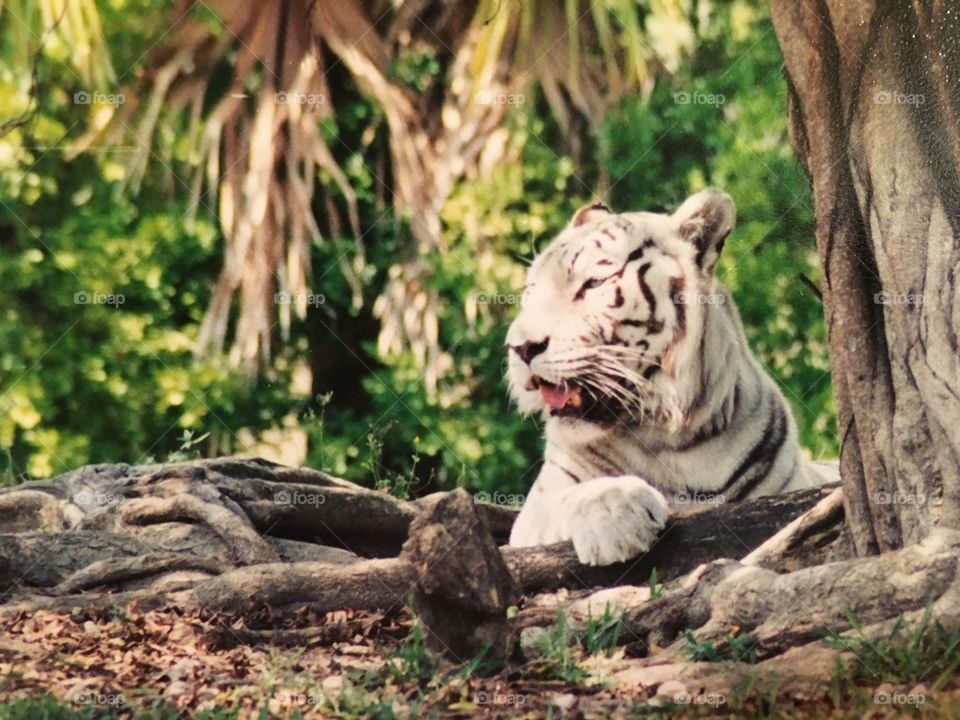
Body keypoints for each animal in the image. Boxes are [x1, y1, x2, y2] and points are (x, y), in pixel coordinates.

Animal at [506, 188, 834, 566]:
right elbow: (568, 497)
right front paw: (616, 512)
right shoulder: (535, 511)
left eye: (594, 283)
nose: (520, 347)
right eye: (530, 290)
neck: (672, 437)